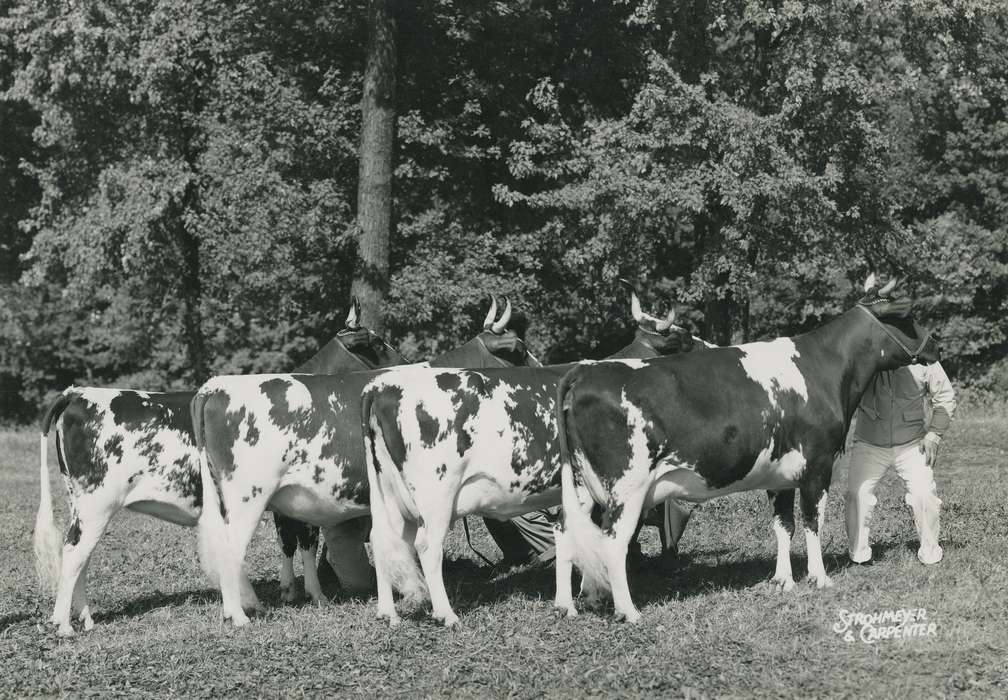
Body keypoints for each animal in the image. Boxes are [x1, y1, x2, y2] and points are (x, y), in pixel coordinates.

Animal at [32, 299, 400, 637]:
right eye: (379, 343)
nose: (404, 361)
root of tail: (78, 393)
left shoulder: (284, 504)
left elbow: (289, 544)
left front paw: (289, 590)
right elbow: (303, 542)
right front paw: (311, 595)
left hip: (82, 504)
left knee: (81, 556)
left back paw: (85, 618)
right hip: (97, 502)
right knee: (74, 551)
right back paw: (64, 624)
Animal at [361, 289, 697, 626]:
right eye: (683, 339)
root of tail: (382, 387)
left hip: (392, 496)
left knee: (383, 540)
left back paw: (388, 613)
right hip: (436, 495)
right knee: (427, 546)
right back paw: (447, 614)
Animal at [551, 276, 941, 623]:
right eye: (908, 316)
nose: (935, 345)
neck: (823, 368)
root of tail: (584, 372)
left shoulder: (780, 475)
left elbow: (783, 526)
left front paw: (783, 579)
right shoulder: (817, 465)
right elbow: (812, 521)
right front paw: (819, 577)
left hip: (582, 487)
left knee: (566, 532)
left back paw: (567, 606)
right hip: (626, 489)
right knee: (612, 542)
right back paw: (628, 612)